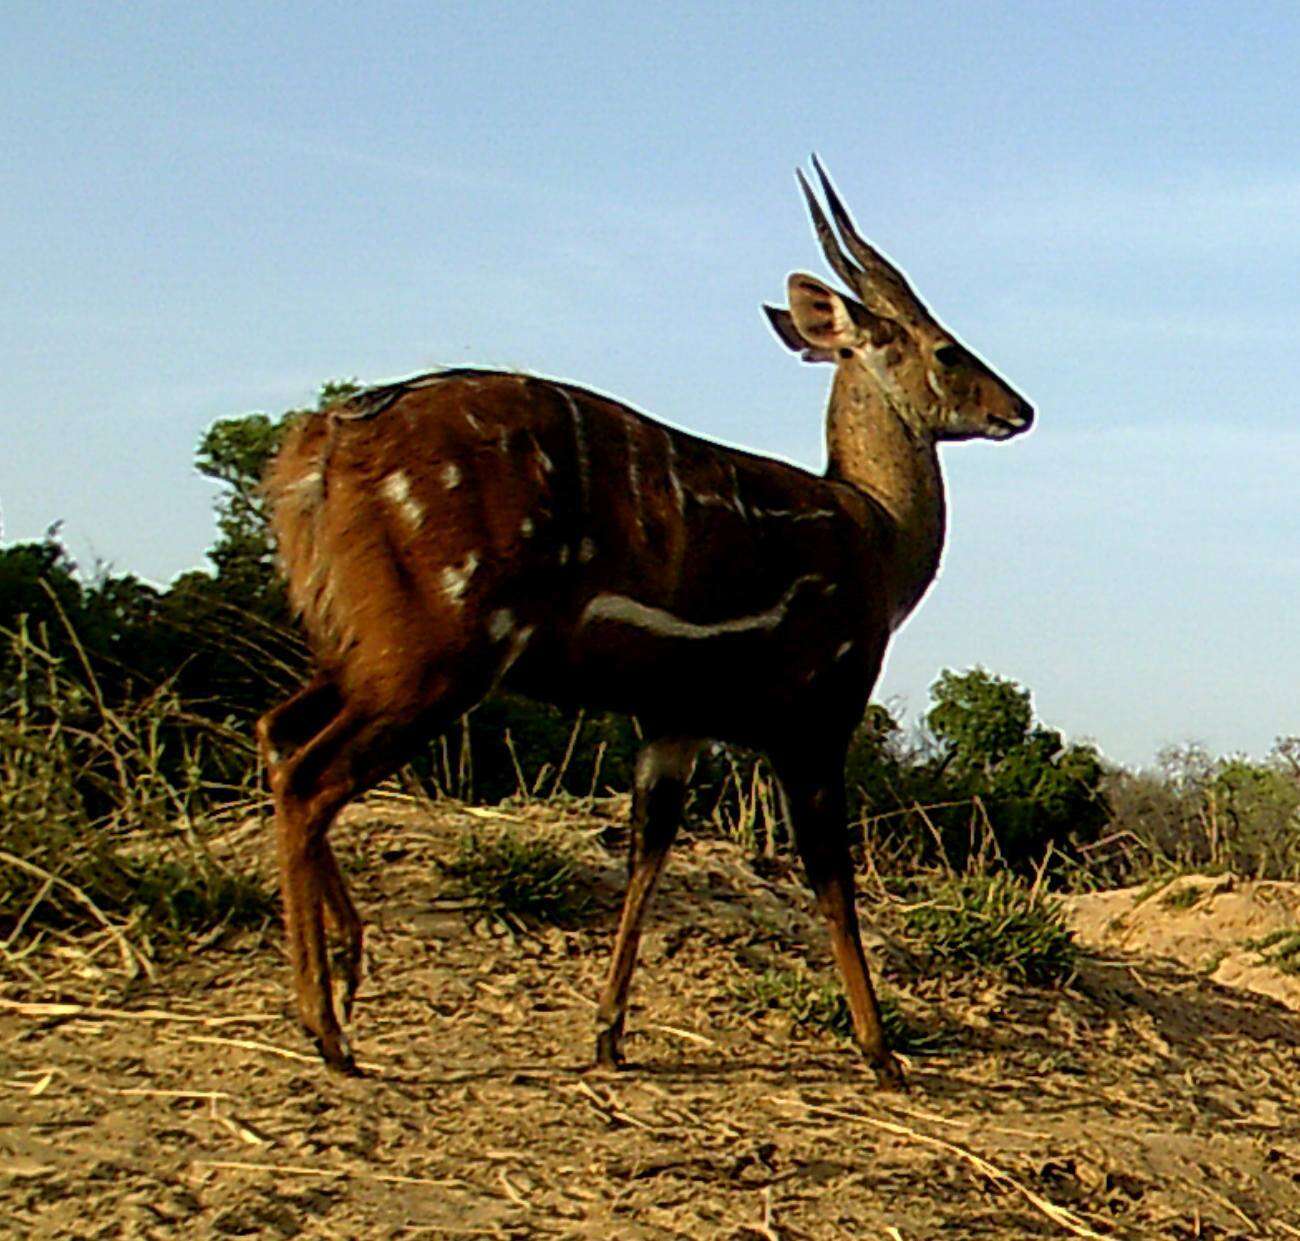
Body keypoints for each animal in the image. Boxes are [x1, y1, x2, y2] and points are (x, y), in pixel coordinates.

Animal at [258, 159, 1034, 1081]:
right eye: (945, 348)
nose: (1019, 408)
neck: (873, 529)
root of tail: (318, 444)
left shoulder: (673, 722)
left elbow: (647, 852)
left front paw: (610, 1033)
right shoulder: (815, 717)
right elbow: (832, 881)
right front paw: (881, 1050)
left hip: (361, 652)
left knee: (277, 734)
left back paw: (349, 968)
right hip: (434, 658)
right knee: (310, 778)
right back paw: (327, 1025)